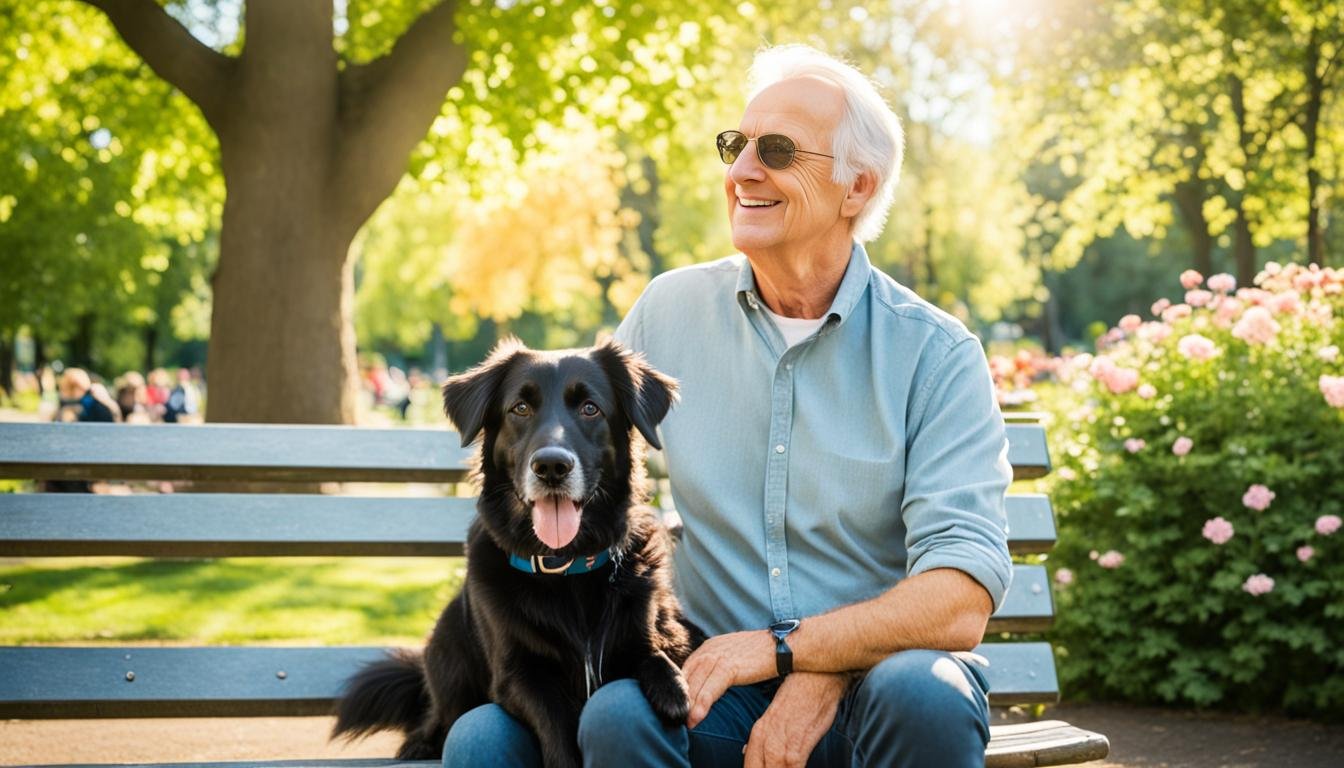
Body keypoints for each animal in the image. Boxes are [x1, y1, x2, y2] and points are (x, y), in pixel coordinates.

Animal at [333, 338, 704, 768]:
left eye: (590, 408)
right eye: (520, 409)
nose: (551, 466)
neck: (565, 566)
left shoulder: (646, 632)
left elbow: (656, 651)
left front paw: (672, 688)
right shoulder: (518, 676)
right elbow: (557, 729)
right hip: (449, 655)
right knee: (435, 720)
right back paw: (420, 744)